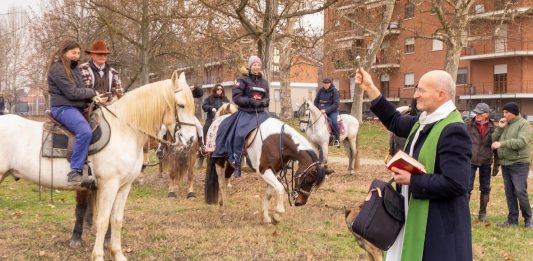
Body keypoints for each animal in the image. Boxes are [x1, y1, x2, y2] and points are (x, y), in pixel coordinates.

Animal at [0, 71, 191, 260]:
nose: (190, 139)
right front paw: (98, 255)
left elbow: (116, 220)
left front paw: (117, 254)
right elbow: (103, 220)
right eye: (181, 105)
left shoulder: (124, 186)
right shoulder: (109, 184)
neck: (123, 130)